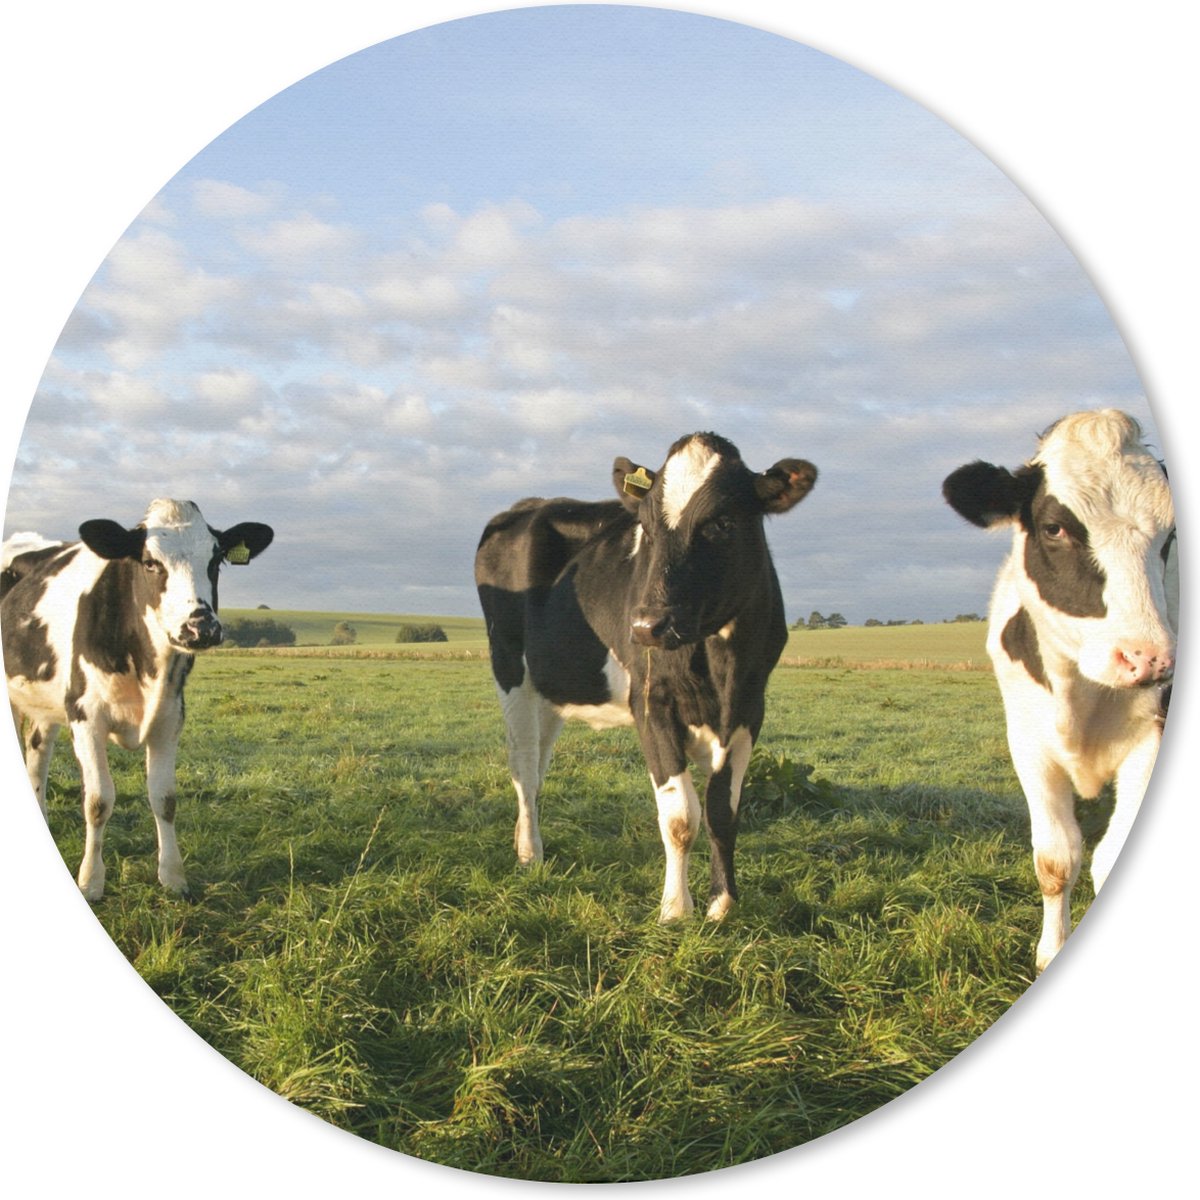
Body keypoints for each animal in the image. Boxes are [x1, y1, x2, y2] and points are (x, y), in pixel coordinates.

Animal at [3, 499, 274, 900]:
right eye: (149, 562)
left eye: (216, 560)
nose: (200, 627)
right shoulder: (85, 717)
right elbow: (98, 800)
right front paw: (90, 882)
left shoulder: (170, 718)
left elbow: (165, 798)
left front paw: (173, 876)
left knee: (38, 754)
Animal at [475, 432, 817, 922]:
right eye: (648, 529)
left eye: (723, 523)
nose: (646, 626)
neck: (720, 668)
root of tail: (529, 505)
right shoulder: (652, 702)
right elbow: (680, 816)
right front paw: (675, 910)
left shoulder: (750, 707)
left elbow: (722, 811)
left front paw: (723, 905)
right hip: (509, 667)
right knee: (523, 767)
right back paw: (529, 854)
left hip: (551, 688)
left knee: (537, 769)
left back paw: (524, 840)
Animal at [943, 409, 1176, 971]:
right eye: (1055, 527)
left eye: (1171, 537)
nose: (1148, 658)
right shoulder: (1028, 744)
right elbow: (1055, 858)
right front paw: (1051, 953)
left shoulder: (1152, 738)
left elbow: (1111, 859)